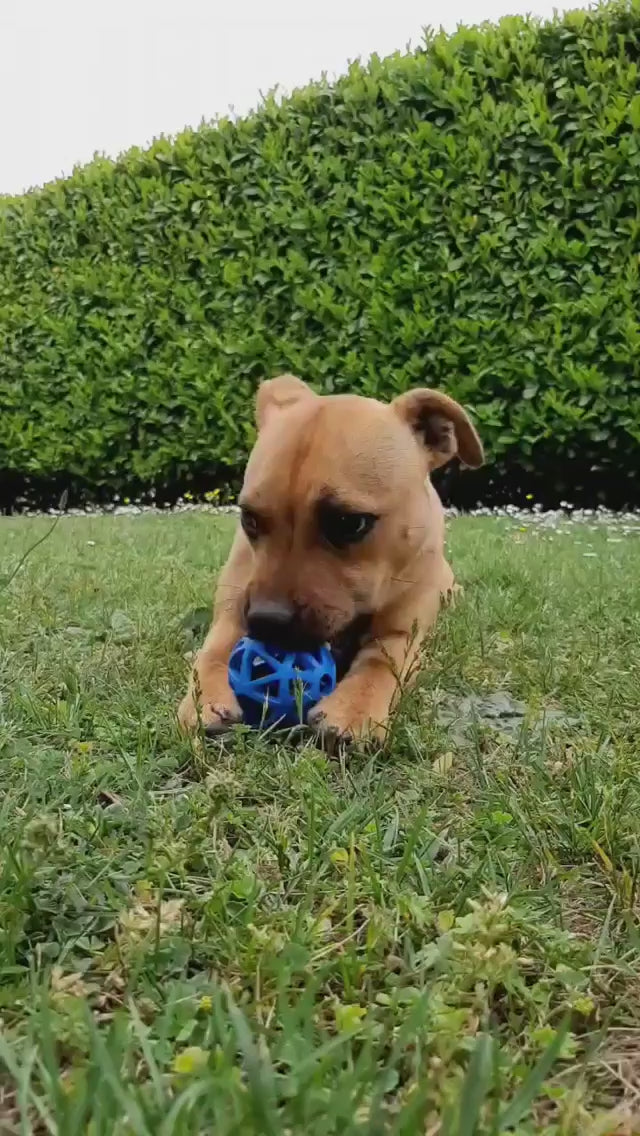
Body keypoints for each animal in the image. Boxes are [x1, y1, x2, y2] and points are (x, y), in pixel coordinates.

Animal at [177, 374, 484, 745]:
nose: (267, 620)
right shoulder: (232, 610)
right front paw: (204, 696)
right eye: (250, 519)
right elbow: (214, 651)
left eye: (349, 523)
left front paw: (354, 707)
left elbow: (381, 665)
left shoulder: (402, 633)